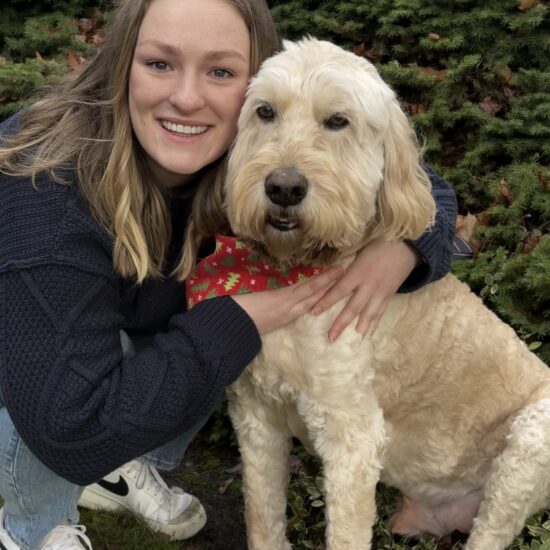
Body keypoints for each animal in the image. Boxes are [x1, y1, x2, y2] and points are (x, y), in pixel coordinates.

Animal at [187, 38, 550, 550]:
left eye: (339, 120)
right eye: (265, 111)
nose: (283, 187)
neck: (292, 273)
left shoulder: (351, 437)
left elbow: (344, 534)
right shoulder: (256, 417)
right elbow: (262, 517)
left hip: (529, 446)